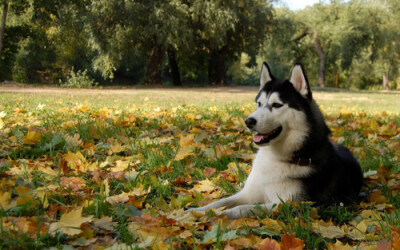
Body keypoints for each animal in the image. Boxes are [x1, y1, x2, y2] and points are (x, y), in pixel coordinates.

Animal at [189, 62, 364, 219]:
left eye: (277, 105)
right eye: (259, 104)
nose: (248, 121)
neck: (277, 158)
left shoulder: (290, 204)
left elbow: (245, 208)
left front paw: (223, 214)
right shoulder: (248, 194)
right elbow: (219, 202)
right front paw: (196, 211)